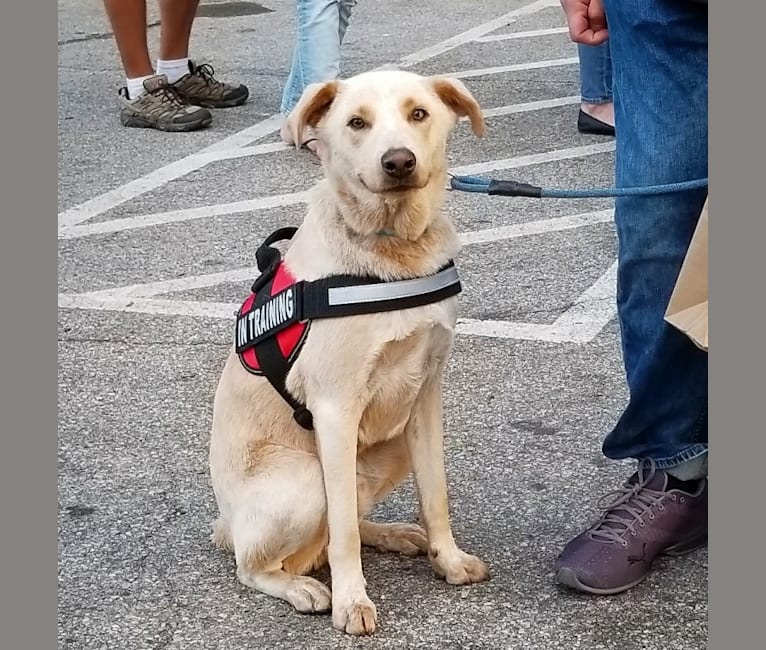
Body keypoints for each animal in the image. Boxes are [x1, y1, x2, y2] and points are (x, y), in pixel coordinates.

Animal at [207, 71, 488, 632]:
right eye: (357, 123)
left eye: (419, 114)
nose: (399, 162)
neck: (390, 252)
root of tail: (226, 524)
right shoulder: (335, 409)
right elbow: (343, 535)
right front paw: (351, 601)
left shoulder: (425, 398)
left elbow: (435, 495)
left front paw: (447, 560)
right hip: (303, 481)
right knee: (260, 564)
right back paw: (302, 587)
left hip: (392, 445)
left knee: (349, 520)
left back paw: (393, 534)